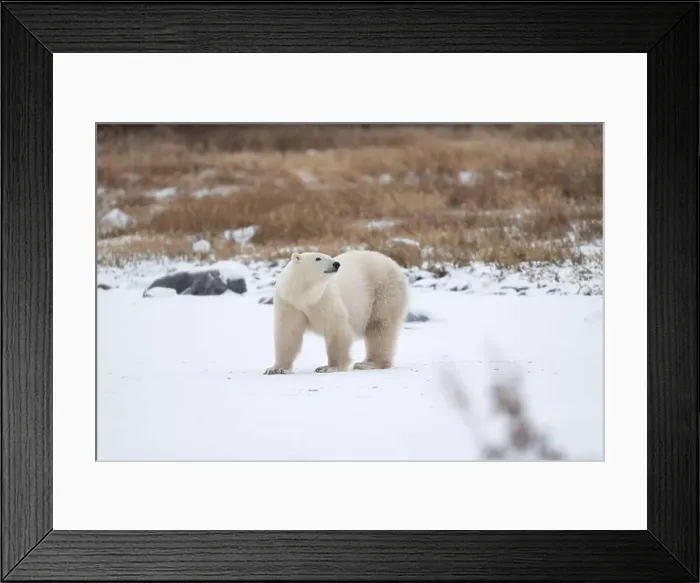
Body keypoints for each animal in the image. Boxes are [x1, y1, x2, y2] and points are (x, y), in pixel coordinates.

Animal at [263, 249, 409, 375]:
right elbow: (288, 332)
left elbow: (336, 329)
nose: (336, 264)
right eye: (318, 258)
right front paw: (276, 369)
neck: (304, 296)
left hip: (383, 290)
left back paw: (368, 364)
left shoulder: (324, 298)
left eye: (330, 257)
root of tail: (393, 263)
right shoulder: (289, 303)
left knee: (379, 327)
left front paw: (328, 367)